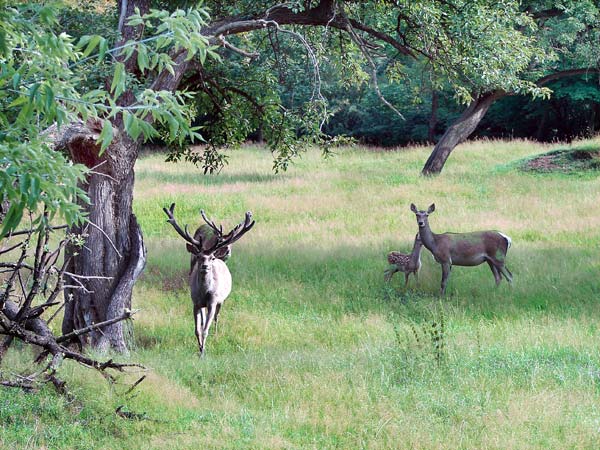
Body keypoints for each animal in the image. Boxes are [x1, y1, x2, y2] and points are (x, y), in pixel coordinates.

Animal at [164, 203, 255, 356]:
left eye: (211, 257)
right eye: (199, 256)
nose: (205, 266)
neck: (204, 292)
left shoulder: (213, 301)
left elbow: (206, 329)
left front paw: (203, 351)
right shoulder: (195, 302)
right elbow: (197, 329)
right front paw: (200, 348)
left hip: (221, 300)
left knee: (217, 317)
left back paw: (216, 334)